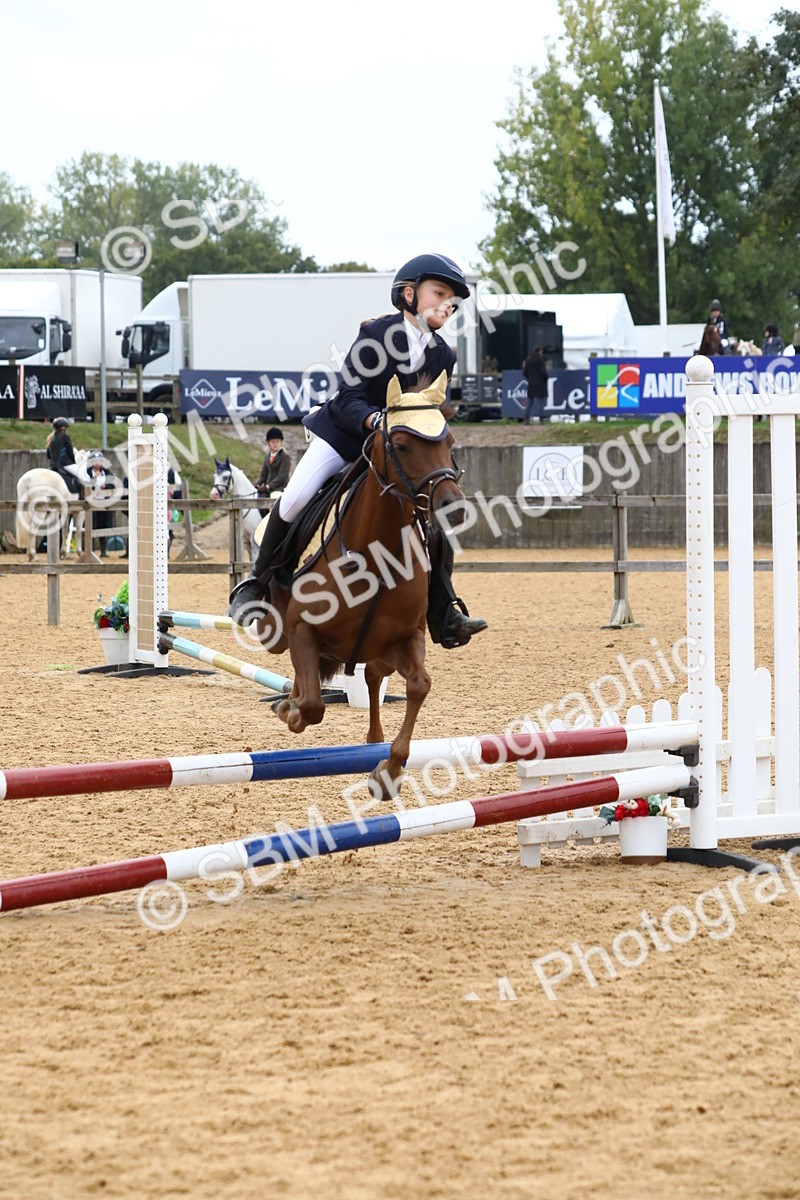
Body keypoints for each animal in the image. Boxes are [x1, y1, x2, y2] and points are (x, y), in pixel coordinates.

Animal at [252, 370, 467, 800]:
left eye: (450, 443)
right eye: (400, 445)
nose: (452, 508)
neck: (376, 554)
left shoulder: (407, 637)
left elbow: (419, 686)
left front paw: (389, 770)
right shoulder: (302, 630)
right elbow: (313, 704)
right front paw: (291, 712)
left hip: (379, 652)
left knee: (370, 678)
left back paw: (373, 741)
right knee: (304, 673)